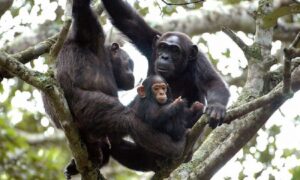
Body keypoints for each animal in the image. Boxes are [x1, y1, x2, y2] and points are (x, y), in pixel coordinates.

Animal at [53, 0, 188, 177]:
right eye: (129, 63)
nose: (132, 74)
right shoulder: (93, 36)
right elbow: (83, 13)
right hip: (87, 107)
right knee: (128, 120)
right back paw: (174, 148)